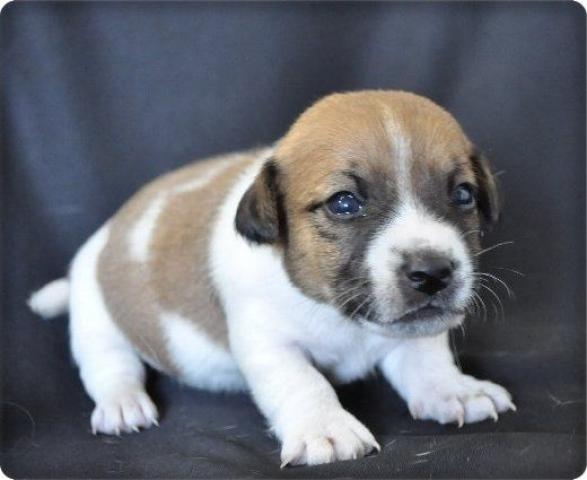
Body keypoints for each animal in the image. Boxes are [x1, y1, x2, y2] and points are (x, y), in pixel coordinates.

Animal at [29, 90, 515, 466]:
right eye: (344, 203)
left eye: (463, 195)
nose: (433, 273)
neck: (337, 315)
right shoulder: (268, 342)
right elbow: (302, 380)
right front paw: (326, 427)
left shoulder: (408, 331)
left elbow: (427, 358)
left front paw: (454, 389)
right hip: (97, 319)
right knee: (109, 365)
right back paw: (122, 403)